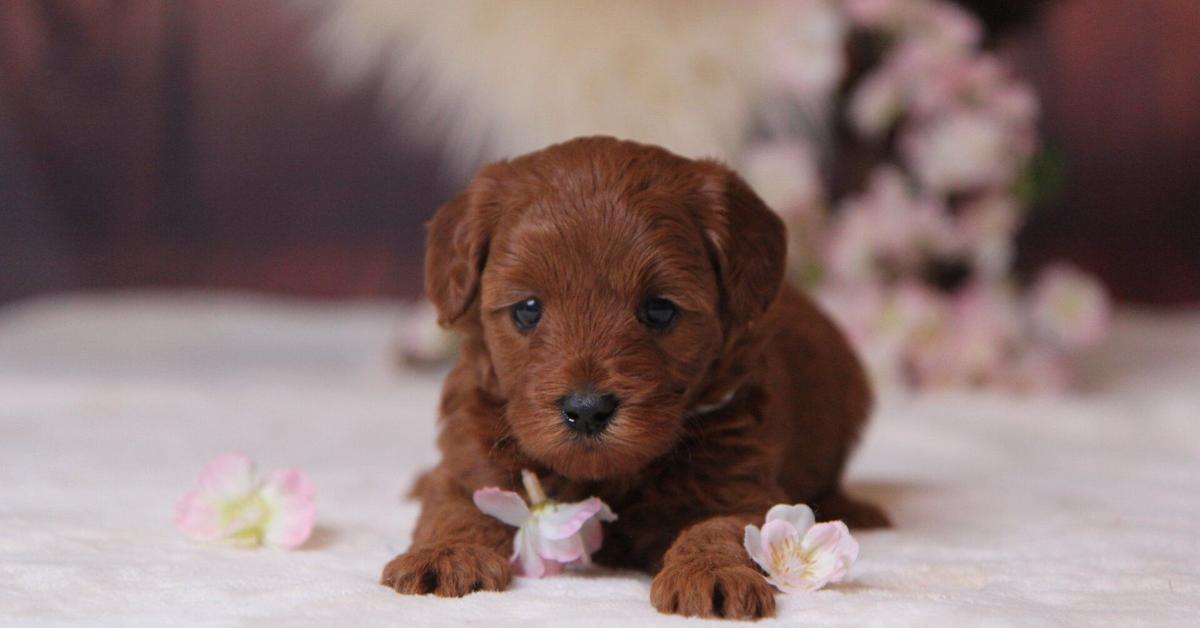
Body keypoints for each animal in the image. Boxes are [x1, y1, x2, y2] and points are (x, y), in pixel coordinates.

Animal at [379, 135, 888, 619]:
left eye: (659, 309)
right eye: (527, 310)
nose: (587, 410)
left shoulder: (741, 484)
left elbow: (721, 527)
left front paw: (711, 573)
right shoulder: (473, 453)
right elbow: (455, 506)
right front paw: (443, 555)